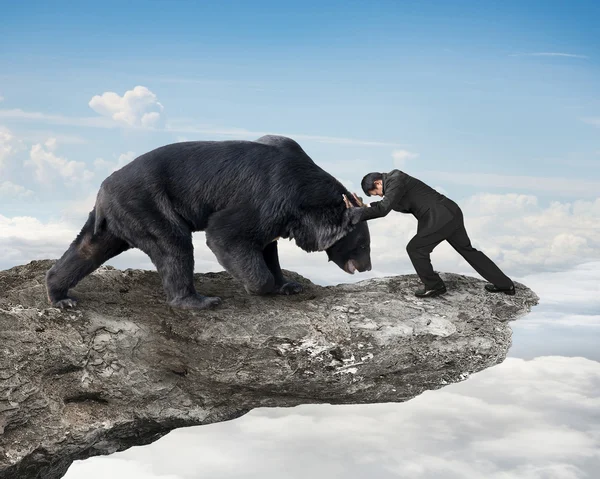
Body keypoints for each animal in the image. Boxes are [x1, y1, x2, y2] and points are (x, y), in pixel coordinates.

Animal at [45, 134, 370, 312]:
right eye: (363, 245)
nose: (366, 266)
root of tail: (102, 192)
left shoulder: (278, 216)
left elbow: (268, 247)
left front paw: (288, 285)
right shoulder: (266, 198)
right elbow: (226, 234)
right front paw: (259, 286)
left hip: (117, 220)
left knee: (88, 249)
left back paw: (60, 296)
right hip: (149, 204)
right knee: (174, 246)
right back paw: (198, 300)